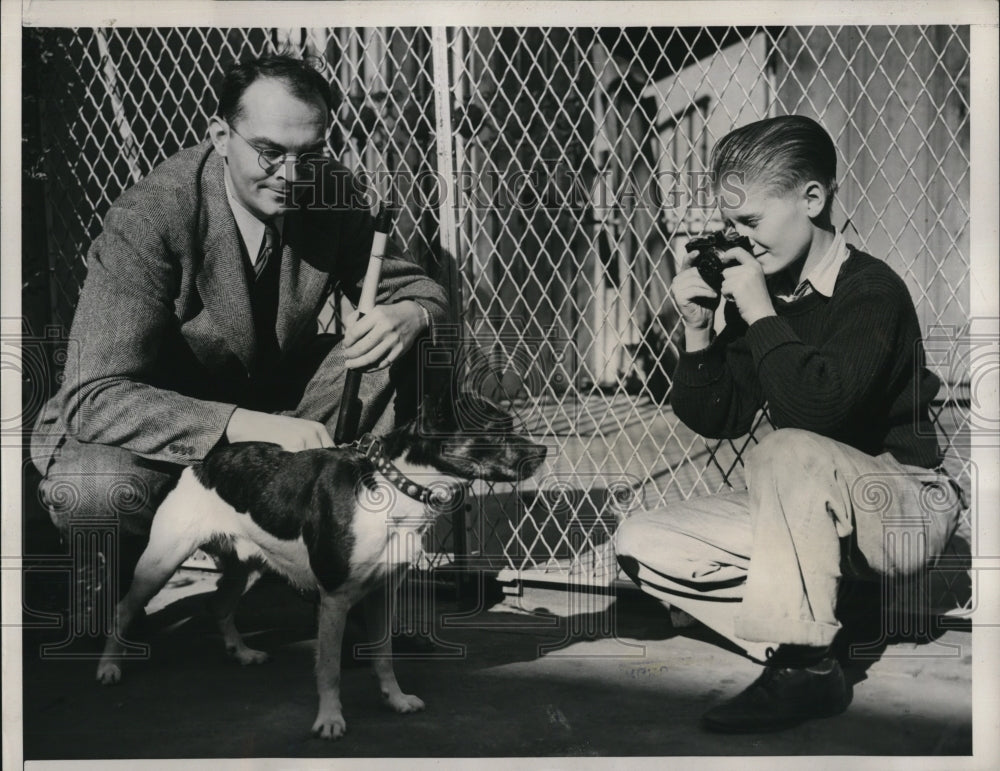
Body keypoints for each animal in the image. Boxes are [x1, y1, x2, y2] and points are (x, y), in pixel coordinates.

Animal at [94, 396, 548, 740]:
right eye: (496, 431)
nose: (543, 451)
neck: (394, 488)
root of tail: (202, 463)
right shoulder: (335, 599)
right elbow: (328, 668)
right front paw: (329, 719)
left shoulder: (382, 595)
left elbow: (384, 657)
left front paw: (396, 700)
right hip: (161, 561)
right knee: (122, 607)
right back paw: (109, 667)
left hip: (248, 566)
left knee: (220, 605)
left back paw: (242, 652)